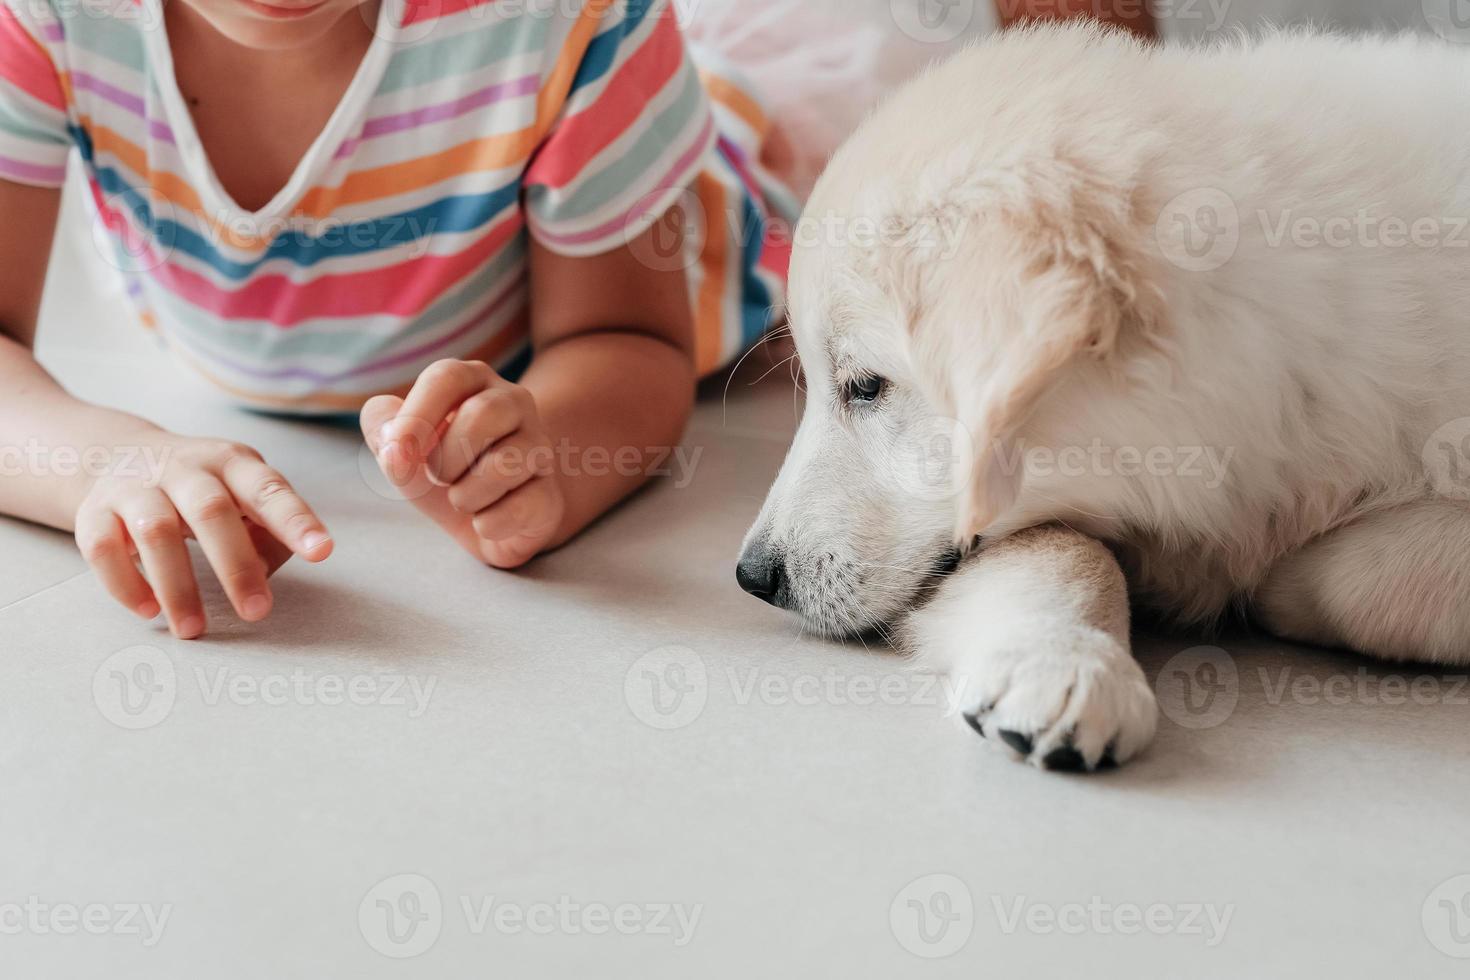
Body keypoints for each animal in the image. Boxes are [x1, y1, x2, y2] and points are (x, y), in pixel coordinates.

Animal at [740, 21, 1470, 775]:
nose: (753, 575)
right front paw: (1066, 662)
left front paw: (1274, 581)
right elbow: (1060, 548)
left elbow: (1384, 574)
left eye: (864, 386)